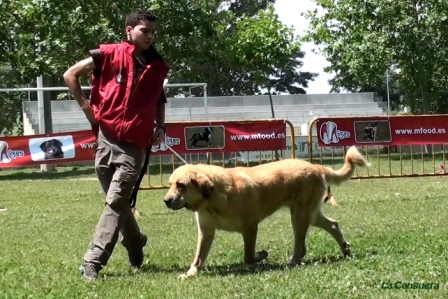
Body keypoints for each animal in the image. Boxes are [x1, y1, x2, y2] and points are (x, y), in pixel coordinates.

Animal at [163, 146, 370, 280]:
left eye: (180, 185)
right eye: (170, 184)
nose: (166, 201)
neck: (213, 196)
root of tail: (316, 166)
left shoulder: (250, 228)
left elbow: (248, 255)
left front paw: (260, 255)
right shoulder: (206, 232)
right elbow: (198, 258)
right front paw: (190, 274)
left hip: (300, 216)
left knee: (301, 247)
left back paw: (291, 262)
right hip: (311, 215)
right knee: (333, 224)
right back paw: (345, 249)